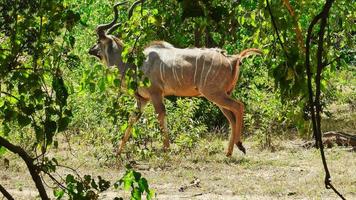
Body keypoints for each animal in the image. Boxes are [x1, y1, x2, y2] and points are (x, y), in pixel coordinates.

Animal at [89, 2, 262, 157]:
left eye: (98, 41)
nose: (90, 50)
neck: (134, 63)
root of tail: (233, 58)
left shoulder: (155, 94)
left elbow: (161, 117)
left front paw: (166, 150)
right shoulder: (142, 99)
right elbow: (132, 120)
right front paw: (118, 153)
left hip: (214, 94)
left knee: (239, 106)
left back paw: (240, 145)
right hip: (219, 95)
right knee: (231, 117)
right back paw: (229, 152)